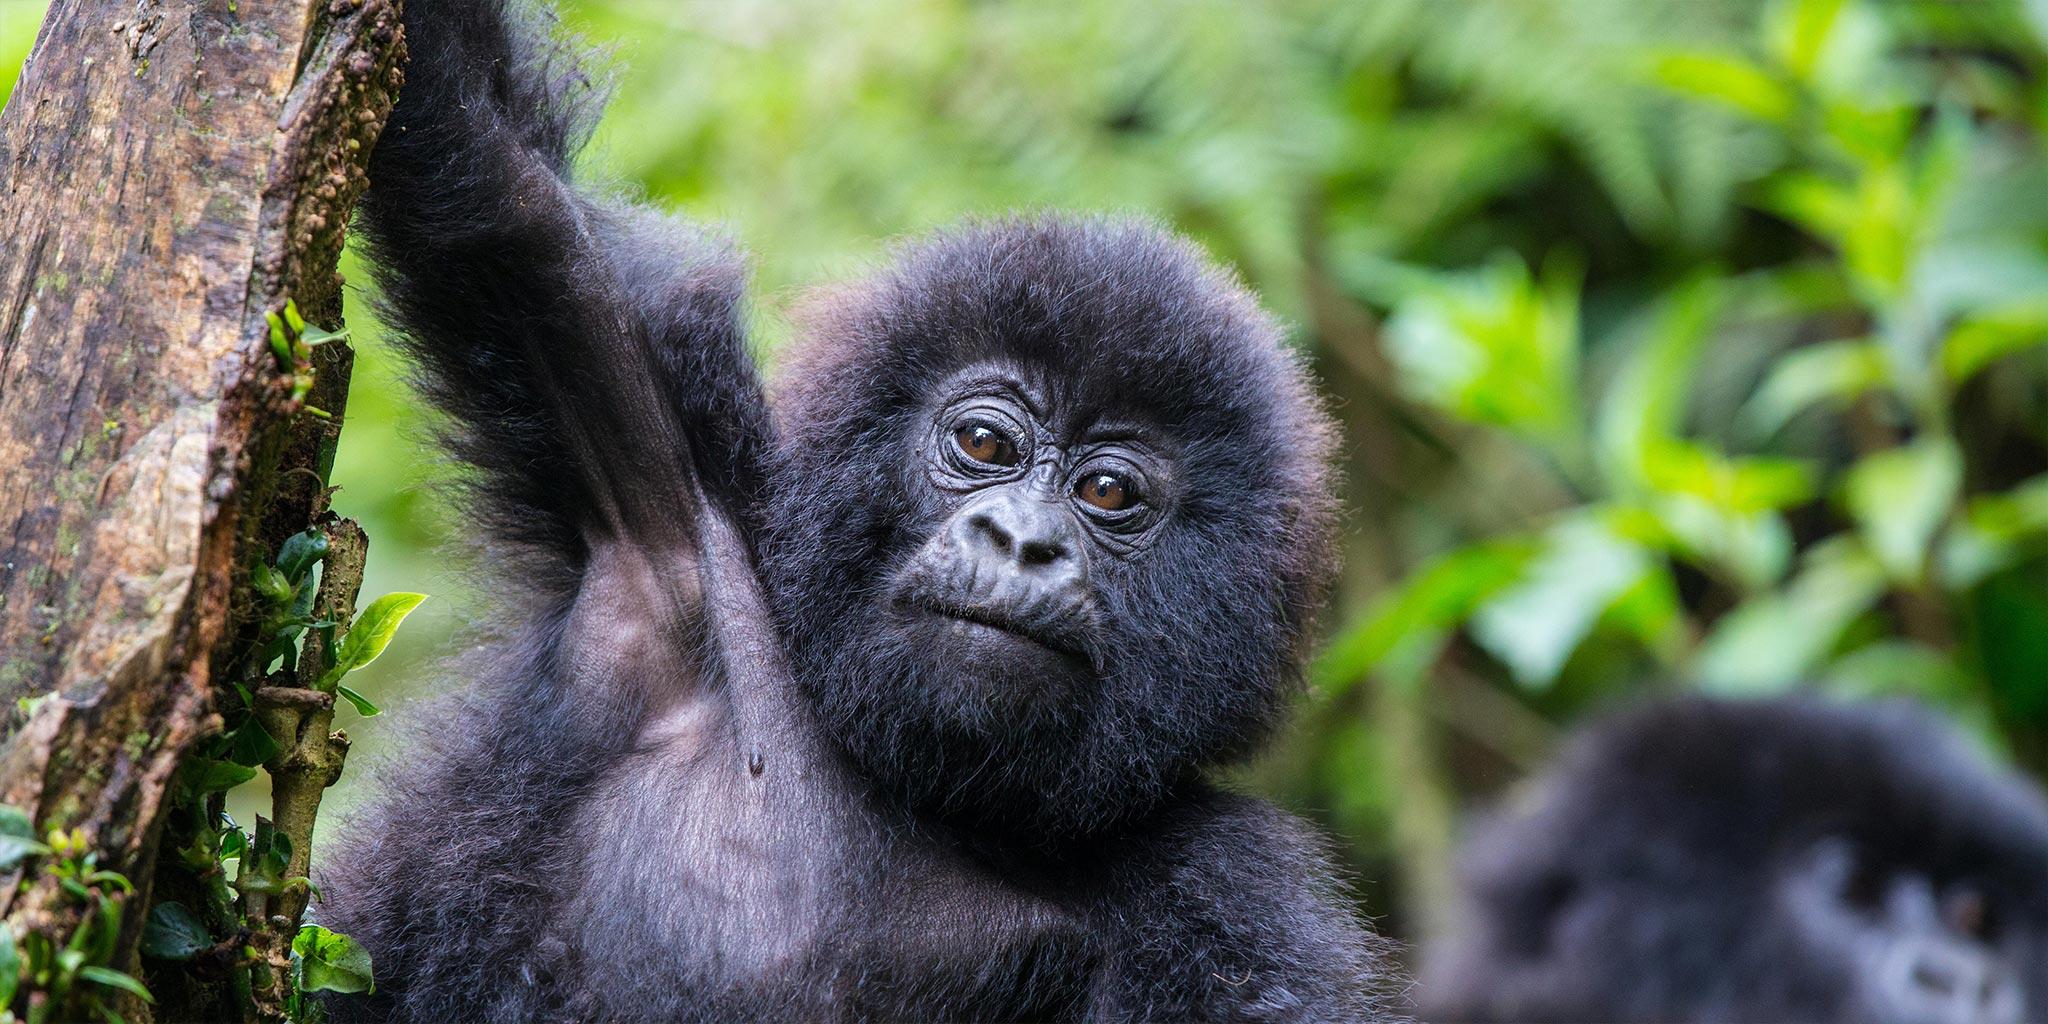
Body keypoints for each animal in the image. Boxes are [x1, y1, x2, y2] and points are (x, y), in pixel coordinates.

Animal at [317, 0, 1399, 1020]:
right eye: (985, 444)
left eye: (1107, 493)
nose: (1020, 541)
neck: (911, 780)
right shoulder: (678, 519)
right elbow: (501, 196)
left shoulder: (1228, 893)